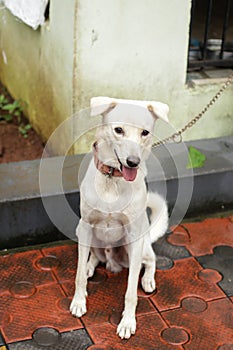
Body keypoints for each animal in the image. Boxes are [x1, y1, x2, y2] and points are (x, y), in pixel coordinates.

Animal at [69, 96, 169, 340]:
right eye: (118, 130)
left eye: (145, 132)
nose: (133, 162)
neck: (112, 179)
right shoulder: (86, 227)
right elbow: (78, 275)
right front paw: (79, 301)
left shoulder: (134, 236)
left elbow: (131, 291)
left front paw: (127, 322)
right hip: (84, 234)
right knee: (94, 257)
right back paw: (90, 265)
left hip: (141, 245)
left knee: (151, 261)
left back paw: (148, 279)